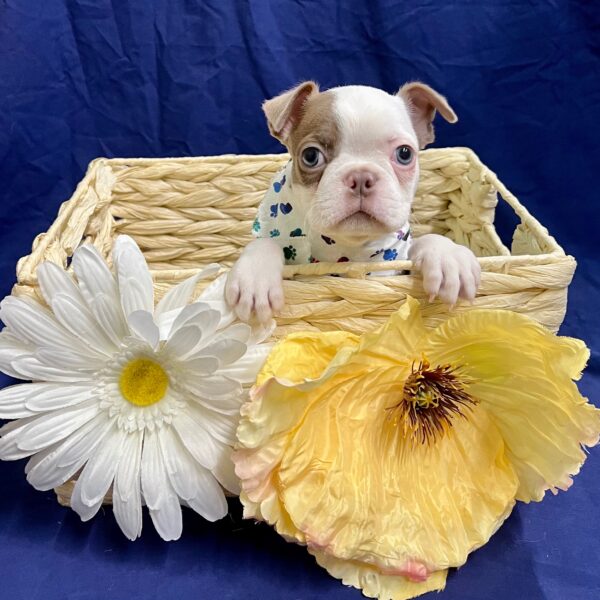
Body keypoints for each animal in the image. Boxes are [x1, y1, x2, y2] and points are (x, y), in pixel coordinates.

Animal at [227, 83, 480, 324]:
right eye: (310, 156)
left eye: (405, 153)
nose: (360, 177)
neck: (348, 250)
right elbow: (266, 243)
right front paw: (255, 277)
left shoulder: (397, 260)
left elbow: (426, 240)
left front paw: (449, 258)